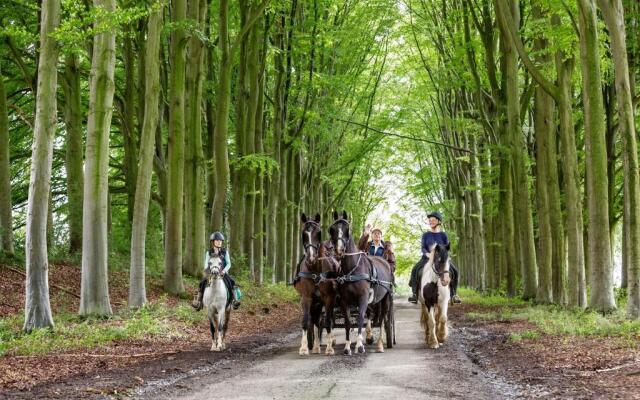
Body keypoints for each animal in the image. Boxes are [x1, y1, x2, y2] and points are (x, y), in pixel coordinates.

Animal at [294, 212, 340, 356]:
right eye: (304, 233)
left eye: (318, 233)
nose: (311, 257)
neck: (314, 269)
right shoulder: (306, 297)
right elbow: (306, 321)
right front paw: (304, 348)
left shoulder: (329, 297)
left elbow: (328, 321)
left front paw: (329, 348)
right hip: (316, 301)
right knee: (316, 320)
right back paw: (315, 346)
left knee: (322, 320)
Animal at [330, 211, 396, 354]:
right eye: (332, 229)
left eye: (347, 229)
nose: (339, 250)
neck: (353, 269)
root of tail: (386, 263)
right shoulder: (344, 301)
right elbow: (348, 322)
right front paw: (347, 347)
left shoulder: (363, 298)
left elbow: (360, 318)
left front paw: (359, 346)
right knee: (371, 314)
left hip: (386, 298)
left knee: (382, 318)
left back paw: (380, 344)